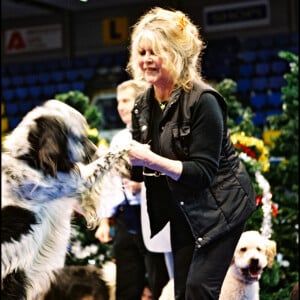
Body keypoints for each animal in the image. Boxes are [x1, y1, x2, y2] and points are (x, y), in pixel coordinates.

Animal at [1, 100, 130, 300]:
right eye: (80, 137)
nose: (95, 150)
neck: (29, 158)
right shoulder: (78, 181)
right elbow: (107, 158)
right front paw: (127, 146)